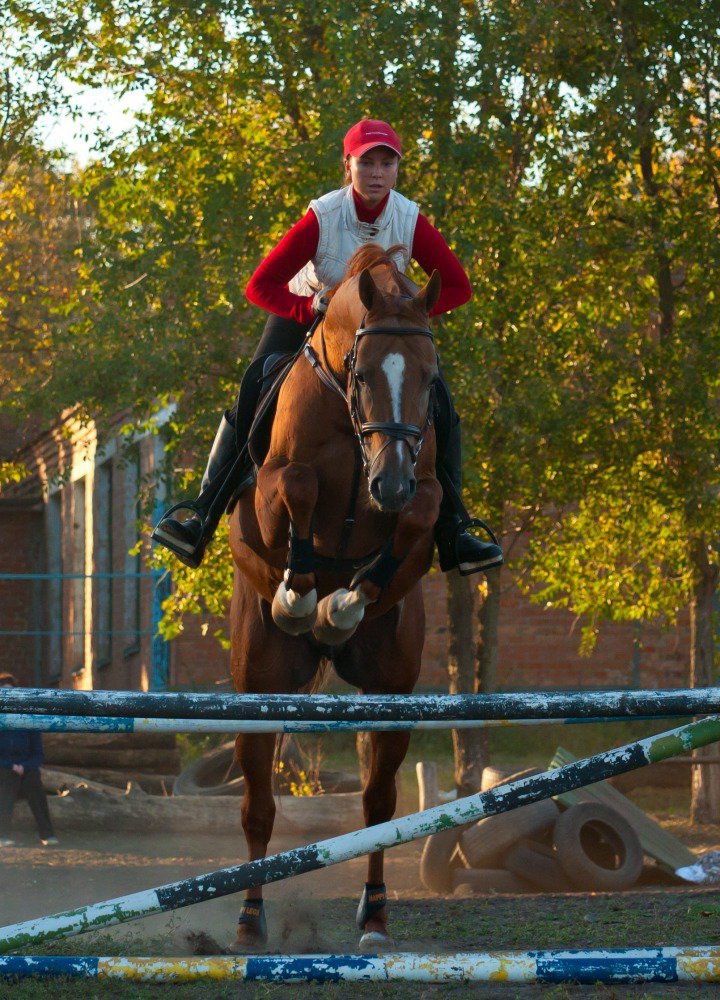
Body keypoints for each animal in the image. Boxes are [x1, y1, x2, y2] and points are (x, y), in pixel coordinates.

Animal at [229, 244, 444, 952]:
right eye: (364, 370)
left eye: (430, 379)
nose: (390, 482)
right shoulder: (272, 491)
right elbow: (296, 483)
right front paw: (302, 597)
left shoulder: (422, 495)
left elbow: (423, 512)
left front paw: (345, 601)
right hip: (258, 687)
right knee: (258, 808)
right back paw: (249, 922)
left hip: (391, 688)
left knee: (379, 806)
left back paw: (375, 917)